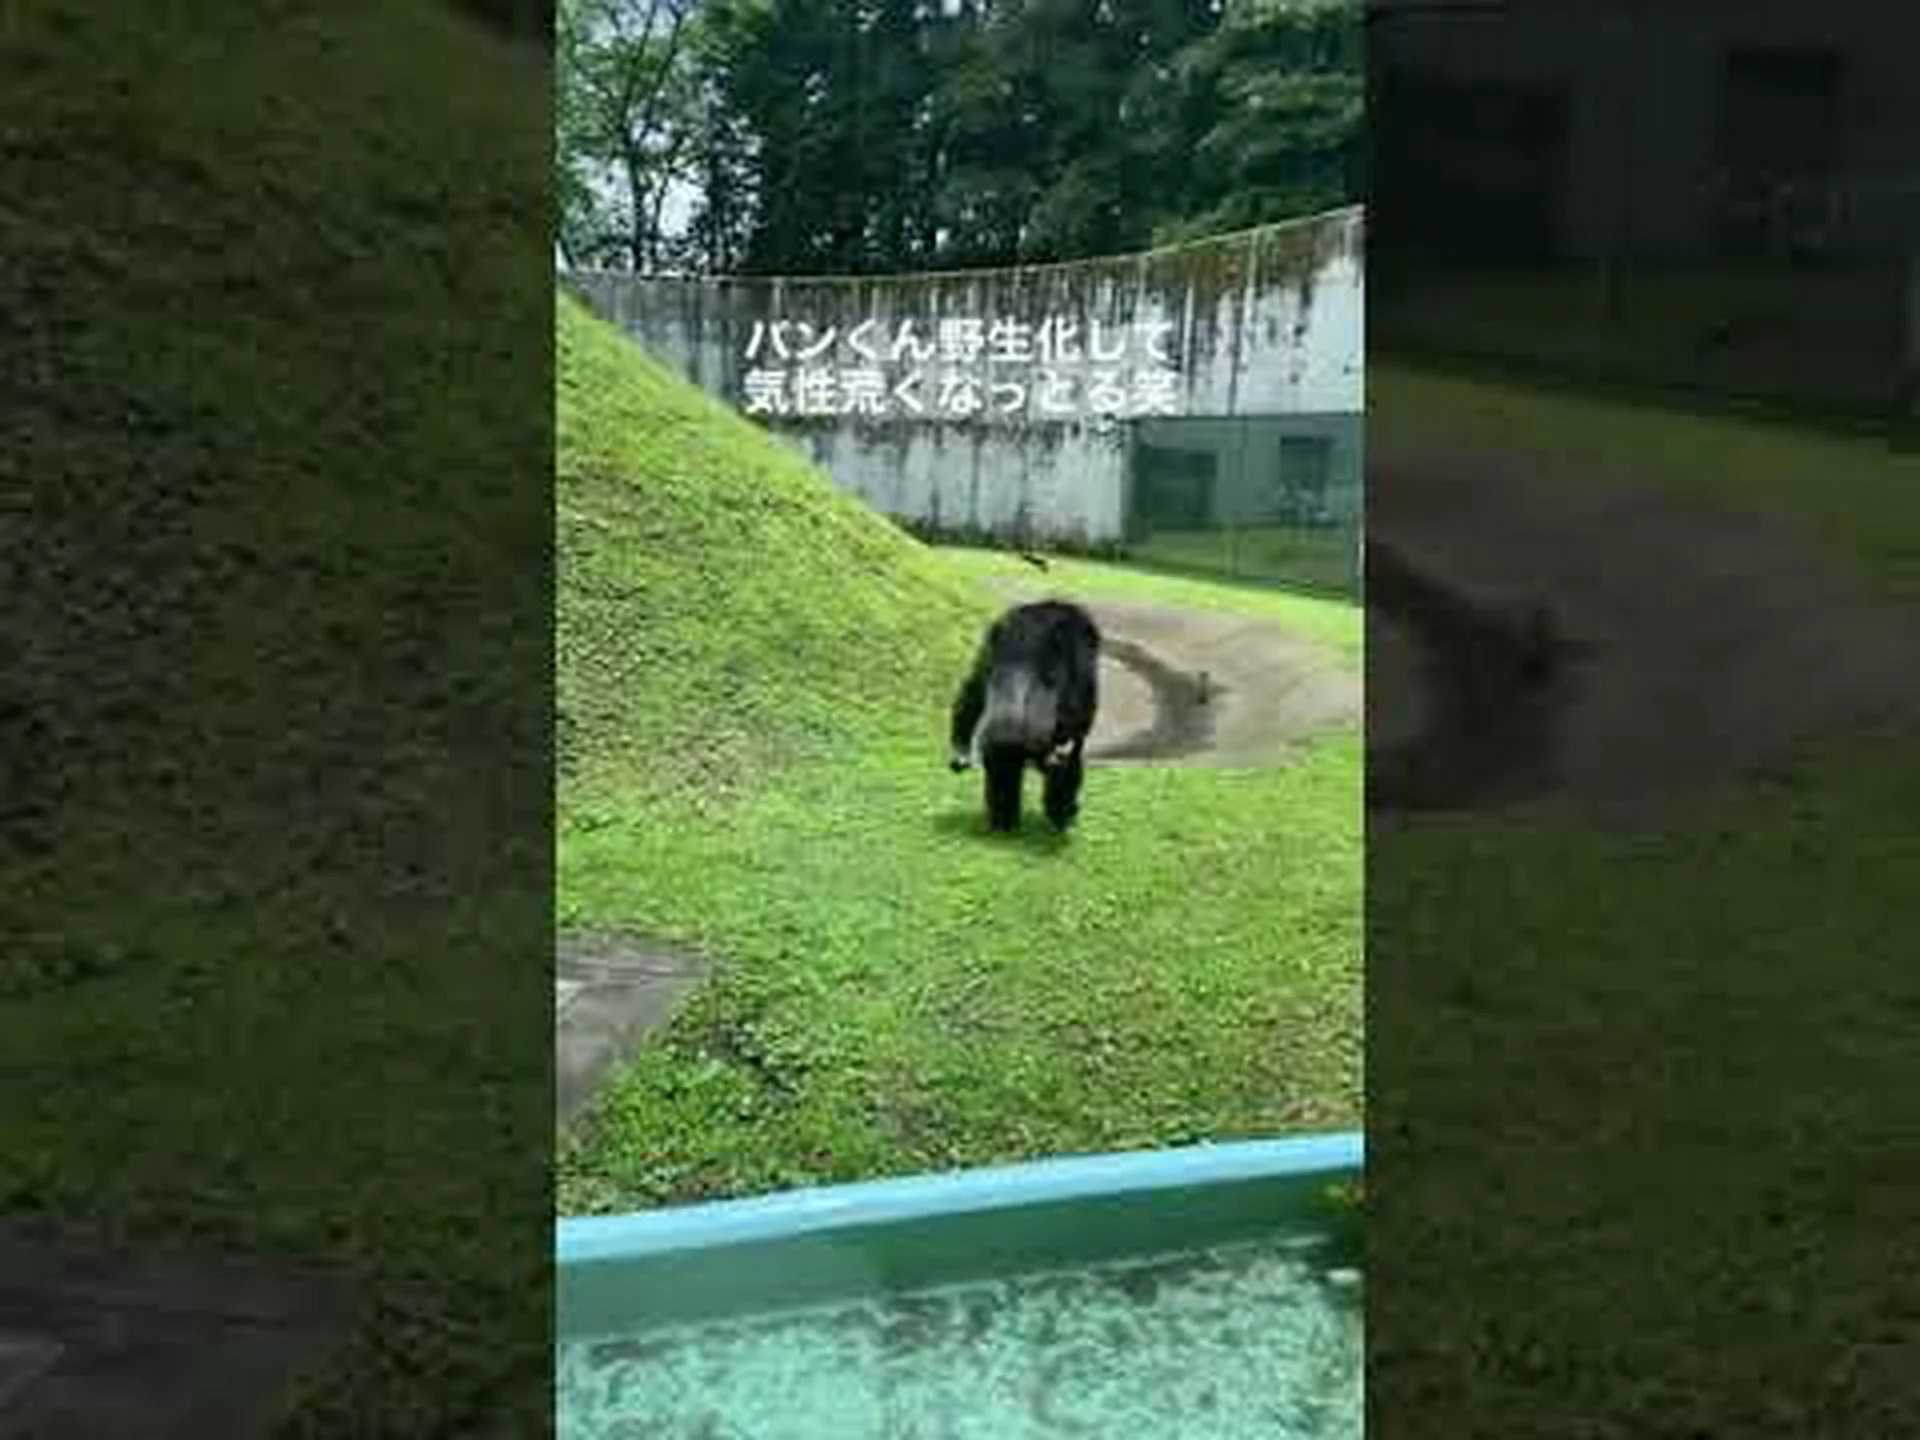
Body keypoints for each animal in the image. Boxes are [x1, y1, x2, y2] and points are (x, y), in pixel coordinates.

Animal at [948, 600, 1101, 833]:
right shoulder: (1081, 653)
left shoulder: (992, 639)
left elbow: (972, 689)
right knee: (1067, 761)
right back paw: (1061, 814)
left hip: (997, 744)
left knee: (1003, 771)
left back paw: (1002, 822)